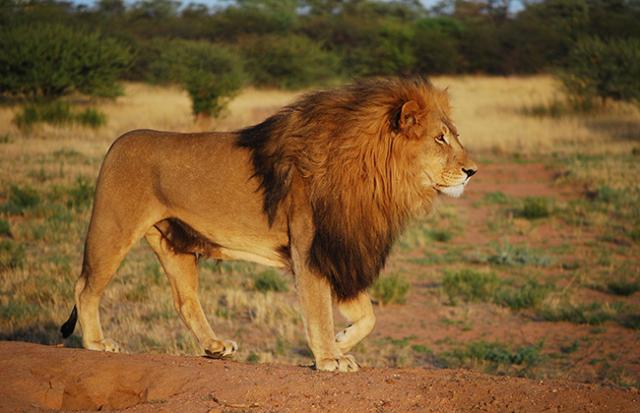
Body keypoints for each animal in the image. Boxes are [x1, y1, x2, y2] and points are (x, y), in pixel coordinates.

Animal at [61, 76, 476, 370]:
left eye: (454, 136)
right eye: (440, 139)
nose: (472, 171)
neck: (376, 177)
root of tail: (117, 142)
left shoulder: (338, 250)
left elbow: (368, 314)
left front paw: (341, 341)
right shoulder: (311, 250)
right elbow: (319, 310)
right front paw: (329, 358)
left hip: (174, 244)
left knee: (185, 300)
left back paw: (215, 347)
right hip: (112, 228)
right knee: (85, 286)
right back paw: (97, 343)